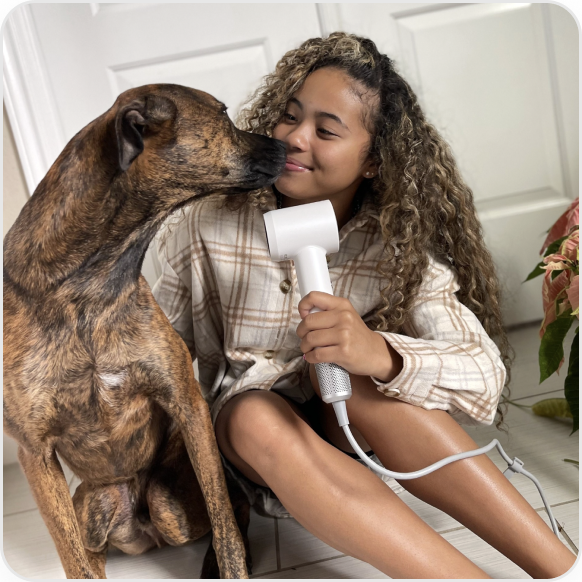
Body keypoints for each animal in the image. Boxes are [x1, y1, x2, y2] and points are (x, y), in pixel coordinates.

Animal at [4, 84, 288, 580]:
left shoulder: (186, 404)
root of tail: (140, 528)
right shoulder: (34, 454)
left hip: (167, 505)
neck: (87, 285)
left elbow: (224, 519)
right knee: (89, 551)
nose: (288, 146)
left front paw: (231, 565)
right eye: (223, 114)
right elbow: (72, 560)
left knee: (234, 506)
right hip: (90, 507)